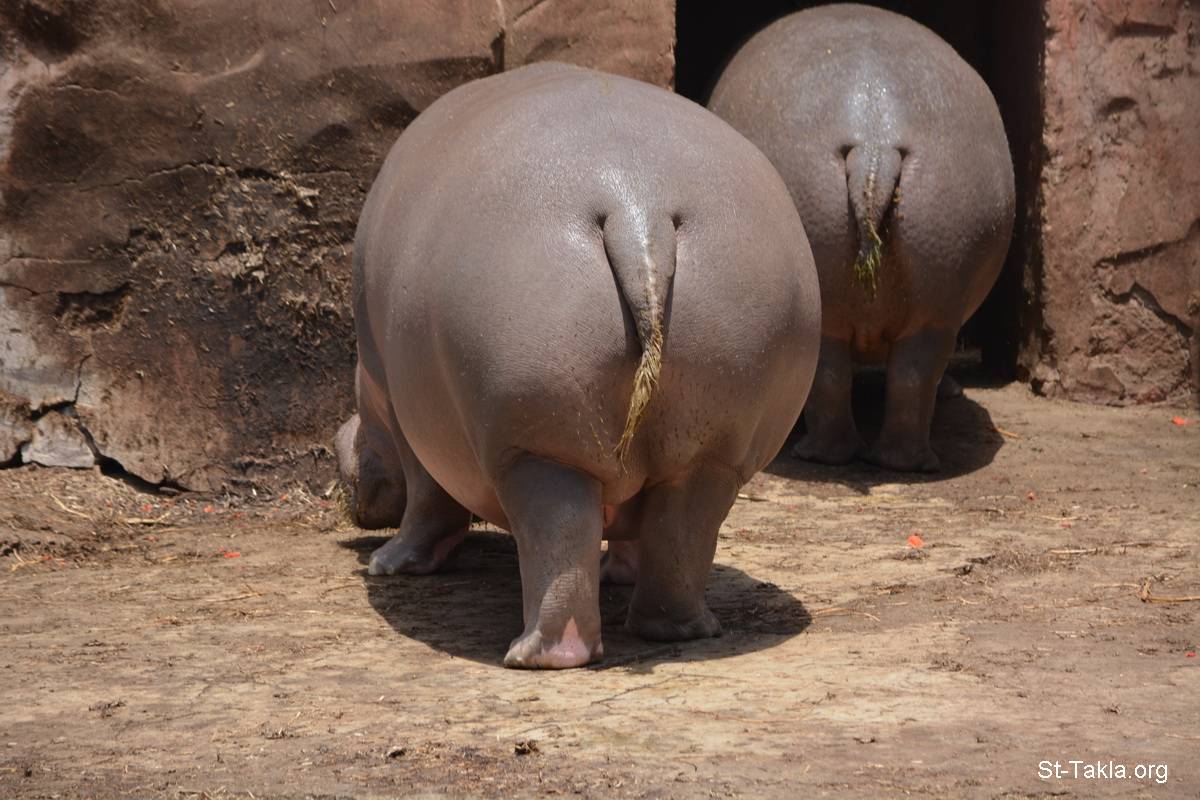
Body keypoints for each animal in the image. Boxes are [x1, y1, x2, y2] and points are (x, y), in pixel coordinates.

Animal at [336, 63, 821, 668]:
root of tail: (641, 212)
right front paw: (618, 574)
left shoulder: (406, 418)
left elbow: (429, 500)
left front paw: (390, 565)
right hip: (714, 445)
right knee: (682, 531)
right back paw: (679, 629)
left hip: (536, 446)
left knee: (557, 536)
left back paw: (532, 655)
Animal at [708, 4, 1015, 471]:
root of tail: (875, 145)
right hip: (936, 296)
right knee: (906, 375)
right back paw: (897, 461)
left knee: (847, 374)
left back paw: (830, 454)